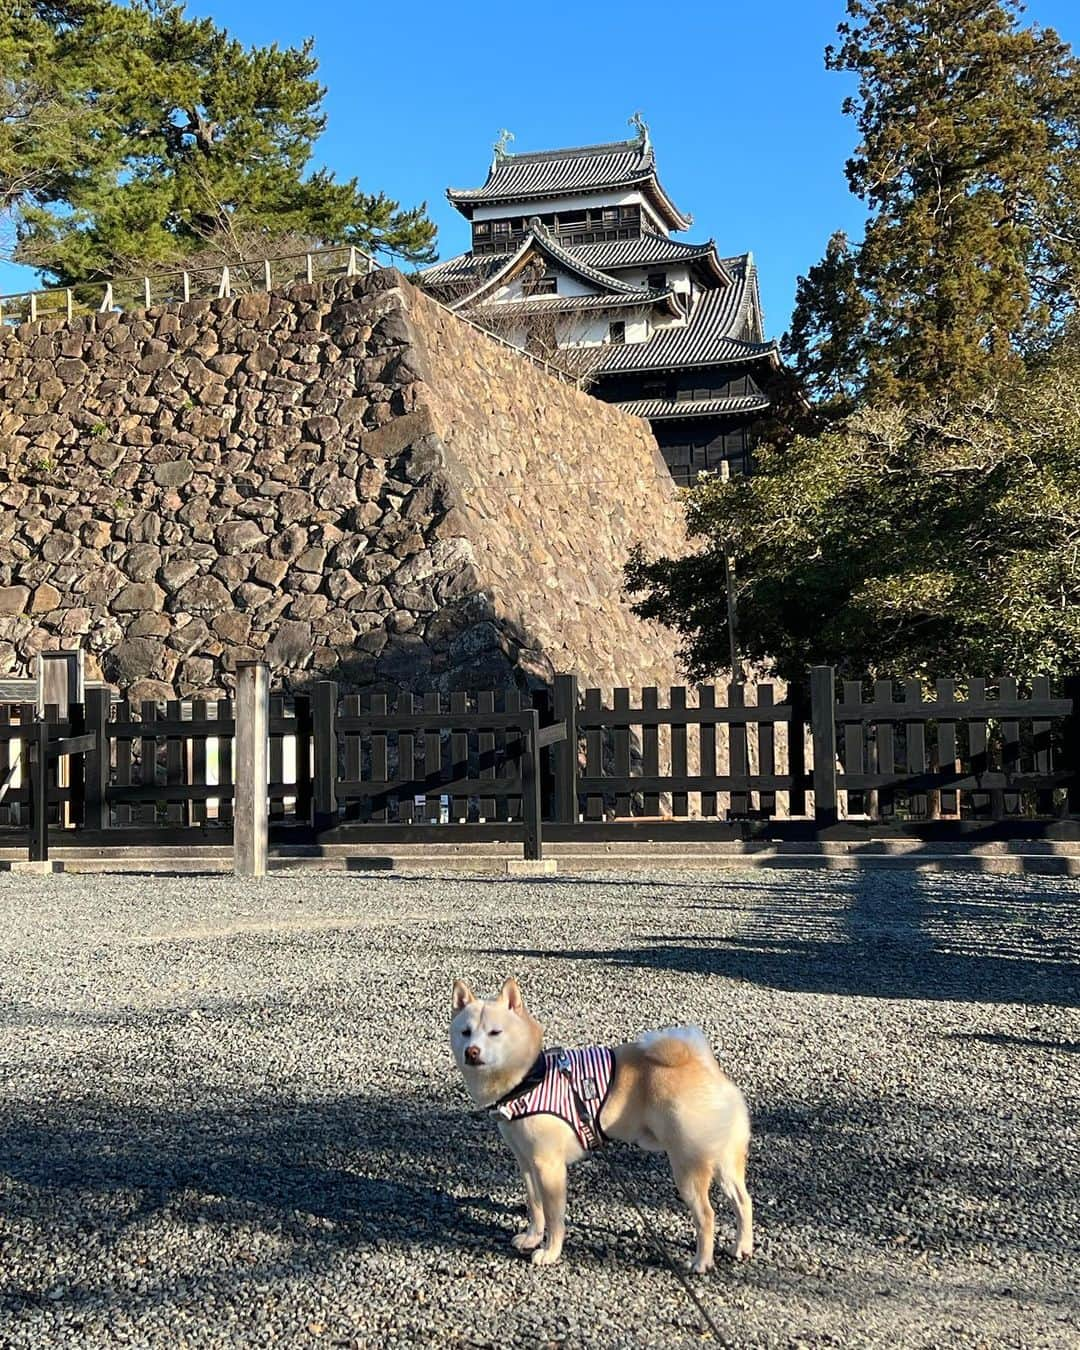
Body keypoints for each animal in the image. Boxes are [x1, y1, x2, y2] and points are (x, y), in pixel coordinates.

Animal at [448, 977, 750, 1269]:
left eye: (495, 1033)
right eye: (465, 1032)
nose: (472, 1051)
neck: (529, 1077)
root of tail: (702, 1064)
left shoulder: (548, 1167)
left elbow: (554, 1217)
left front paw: (550, 1252)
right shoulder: (526, 1163)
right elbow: (535, 1207)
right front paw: (533, 1237)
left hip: (688, 1168)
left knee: (707, 1216)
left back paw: (702, 1261)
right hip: (724, 1163)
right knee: (744, 1202)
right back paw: (742, 1246)